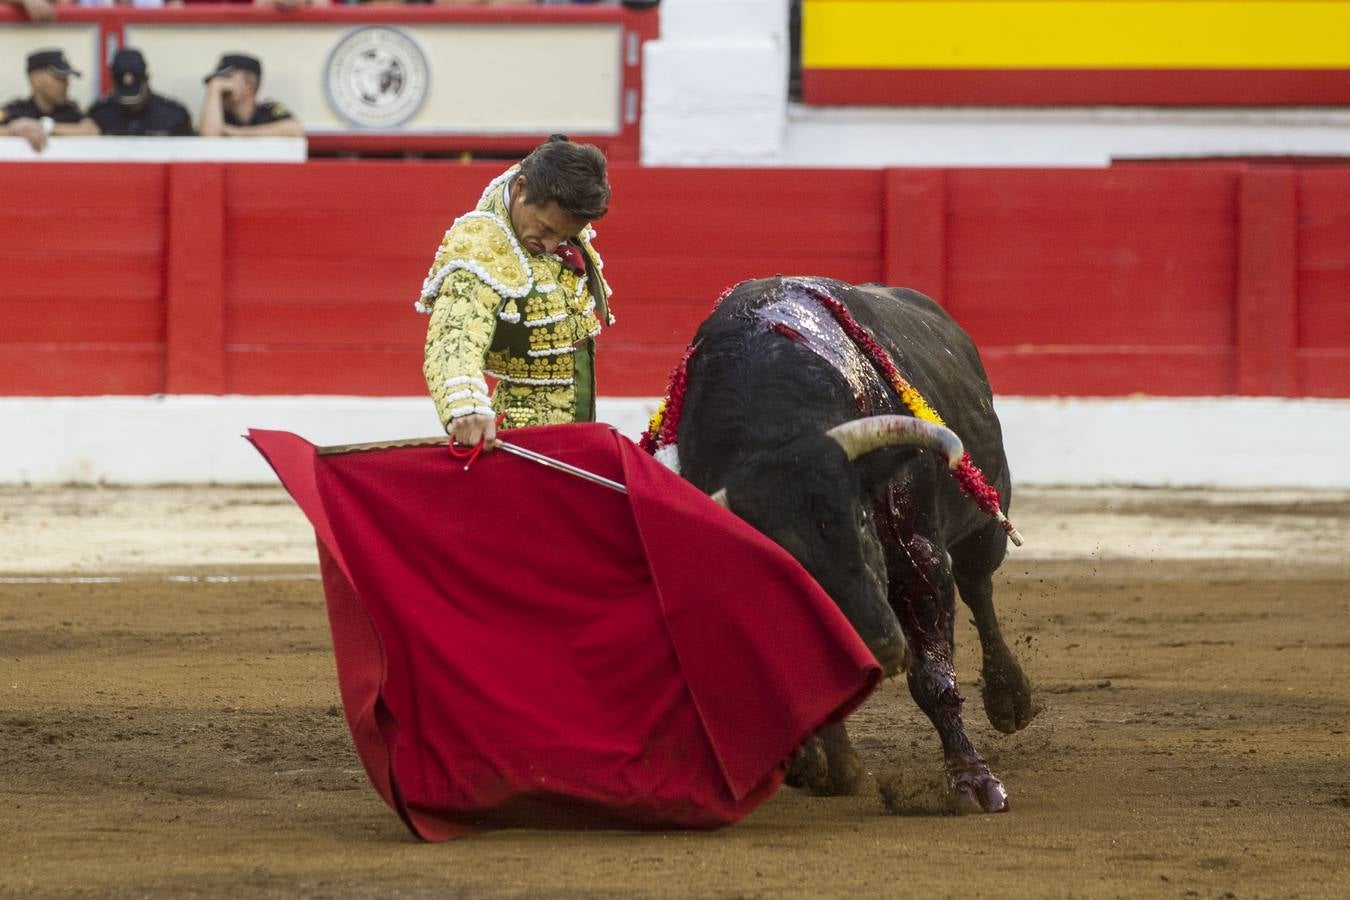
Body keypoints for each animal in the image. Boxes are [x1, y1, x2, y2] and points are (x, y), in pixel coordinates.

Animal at [653, 276, 1031, 814]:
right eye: (784, 566)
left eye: (862, 519)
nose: (877, 646)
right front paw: (819, 762)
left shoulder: (918, 558)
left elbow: (933, 677)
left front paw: (972, 781)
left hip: (984, 521)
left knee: (978, 586)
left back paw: (1009, 700)